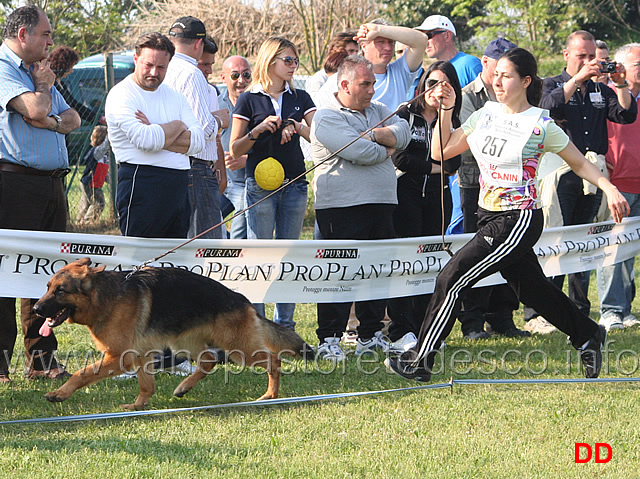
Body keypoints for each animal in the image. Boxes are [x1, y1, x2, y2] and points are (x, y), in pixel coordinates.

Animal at [33, 256, 314, 410]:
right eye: (47, 287)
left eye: (60, 291)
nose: (36, 309)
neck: (105, 298)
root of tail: (242, 300)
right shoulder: (141, 356)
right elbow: (146, 385)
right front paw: (138, 406)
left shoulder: (119, 357)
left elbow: (82, 373)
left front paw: (60, 394)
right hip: (186, 342)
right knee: (209, 360)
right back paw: (183, 388)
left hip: (238, 348)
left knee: (274, 360)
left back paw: (270, 395)